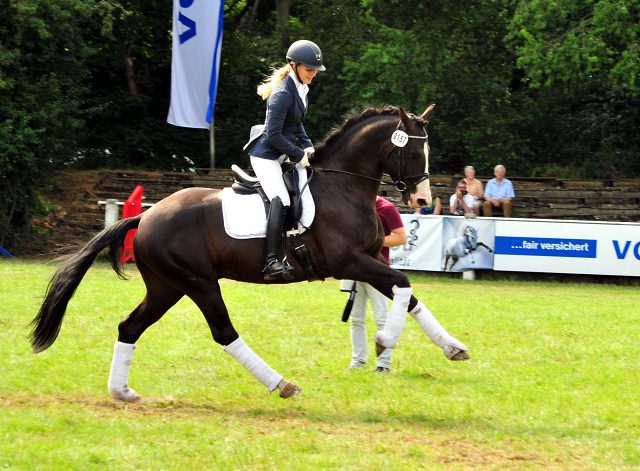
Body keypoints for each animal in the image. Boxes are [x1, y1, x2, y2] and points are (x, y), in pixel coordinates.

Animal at [31, 106, 470, 402]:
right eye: (413, 153)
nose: (422, 200)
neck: (344, 186)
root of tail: (147, 215)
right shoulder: (349, 261)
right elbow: (402, 284)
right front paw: (383, 341)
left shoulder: (370, 259)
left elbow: (408, 294)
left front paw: (452, 347)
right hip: (198, 282)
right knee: (223, 332)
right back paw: (281, 384)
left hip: (166, 287)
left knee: (130, 327)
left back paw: (121, 392)